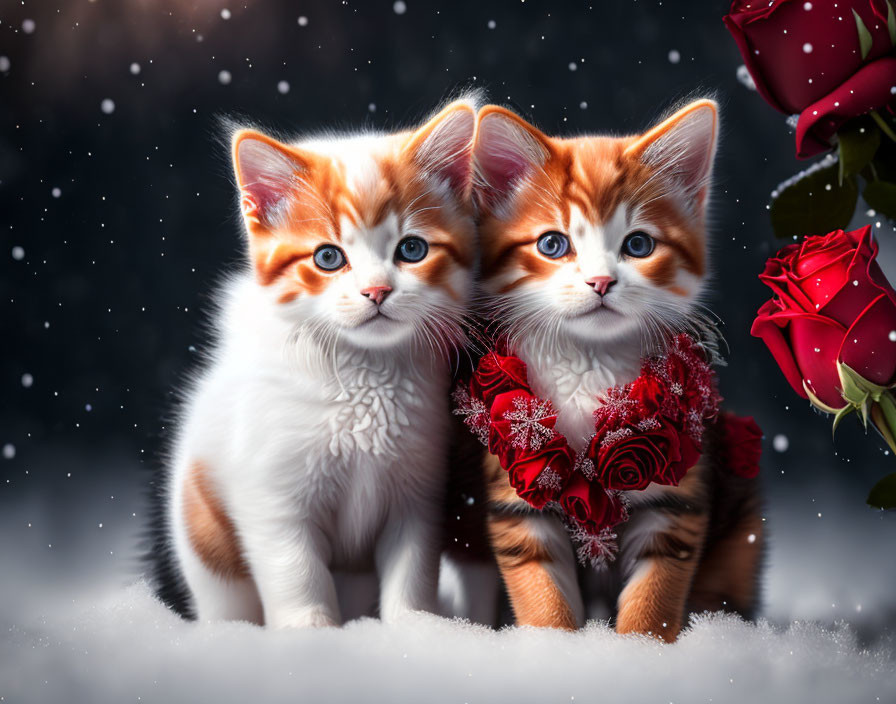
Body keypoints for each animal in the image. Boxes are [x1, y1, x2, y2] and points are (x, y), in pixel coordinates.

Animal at [156, 99, 476, 628]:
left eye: (412, 249)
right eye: (328, 257)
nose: (377, 291)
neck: (365, 377)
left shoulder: (419, 492)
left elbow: (412, 568)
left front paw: (415, 626)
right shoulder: (271, 496)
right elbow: (296, 571)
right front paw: (311, 631)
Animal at [468, 102, 764, 640]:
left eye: (639, 244)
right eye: (552, 244)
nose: (601, 281)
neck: (590, 362)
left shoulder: (674, 499)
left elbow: (654, 595)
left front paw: (638, 650)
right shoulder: (519, 493)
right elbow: (541, 594)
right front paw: (552, 644)